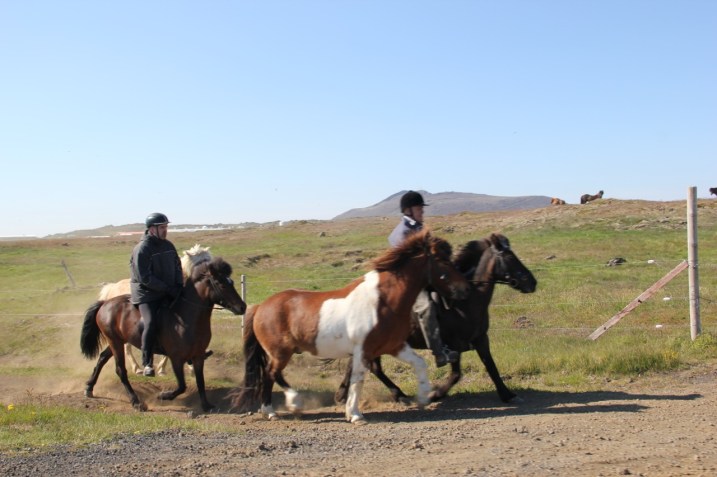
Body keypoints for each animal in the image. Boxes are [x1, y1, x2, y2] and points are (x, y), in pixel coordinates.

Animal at [81, 257, 247, 411]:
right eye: (221, 284)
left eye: (231, 282)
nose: (242, 307)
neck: (186, 317)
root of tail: (105, 303)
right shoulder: (176, 358)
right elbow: (182, 386)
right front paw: (164, 395)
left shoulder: (198, 356)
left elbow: (200, 381)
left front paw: (206, 405)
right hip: (115, 342)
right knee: (120, 370)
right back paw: (136, 401)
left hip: (116, 341)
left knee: (102, 358)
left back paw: (89, 388)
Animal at [230, 230, 470, 424]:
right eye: (442, 260)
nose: (464, 290)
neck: (383, 301)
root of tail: (261, 306)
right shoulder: (364, 350)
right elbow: (358, 380)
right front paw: (355, 415)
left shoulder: (394, 346)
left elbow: (419, 363)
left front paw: (423, 396)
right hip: (280, 352)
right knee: (270, 374)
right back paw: (279, 408)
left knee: (272, 375)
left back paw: (284, 407)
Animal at [335, 233, 537, 405]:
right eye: (510, 257)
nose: (532, 282)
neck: (465, 302)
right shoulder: (453, 344)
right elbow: (456, 374)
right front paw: (435, 394)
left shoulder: (481, 339)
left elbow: (491, 366)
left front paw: (507, 395)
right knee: (369, 366)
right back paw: (393, 395)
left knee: (362, 365)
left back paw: (349, 394)